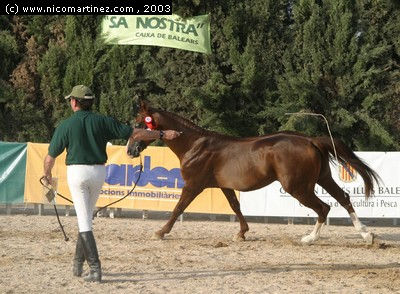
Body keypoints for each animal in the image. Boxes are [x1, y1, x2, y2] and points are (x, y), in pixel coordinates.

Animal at [126, 102, 380, 245]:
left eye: (139, 123)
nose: (129, 150)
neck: (195, 145)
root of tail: (310, 140)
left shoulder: (193, 185)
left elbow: (178, 208)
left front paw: (160, 232)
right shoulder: (224, 186)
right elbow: (235, 207)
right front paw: (242, 233)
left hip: (298, 187)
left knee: (324, 208)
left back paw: (310, 238)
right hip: (322, 178)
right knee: (343, 198)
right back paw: (366, 235)